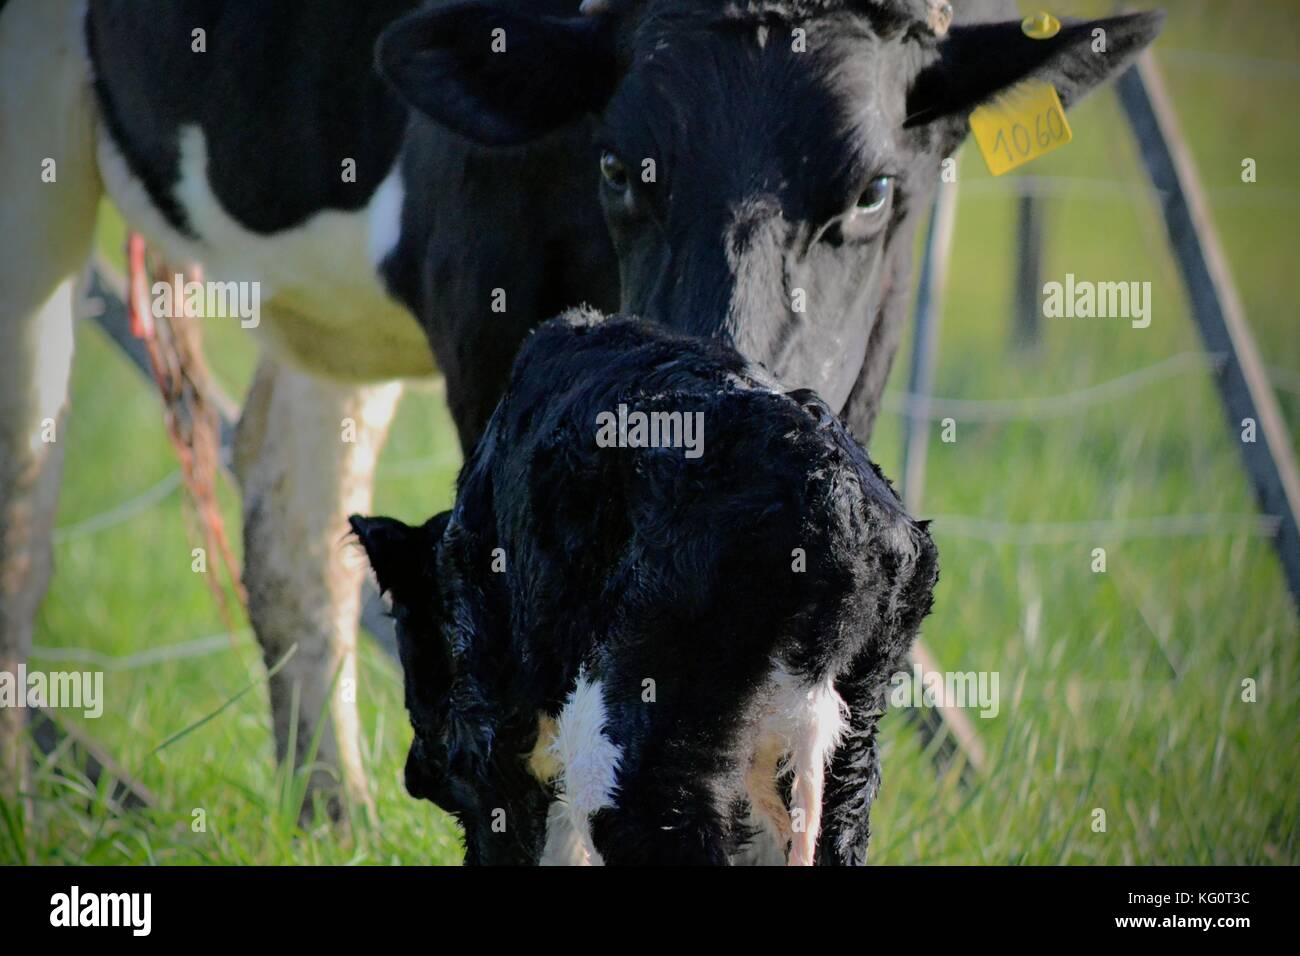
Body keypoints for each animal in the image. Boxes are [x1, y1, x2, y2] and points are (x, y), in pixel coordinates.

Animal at [351, 310, 941, 863]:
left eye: (412, 646)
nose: (412, 777)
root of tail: (841, 500)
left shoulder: (487, 739)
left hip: (632, 750)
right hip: (842, 751)